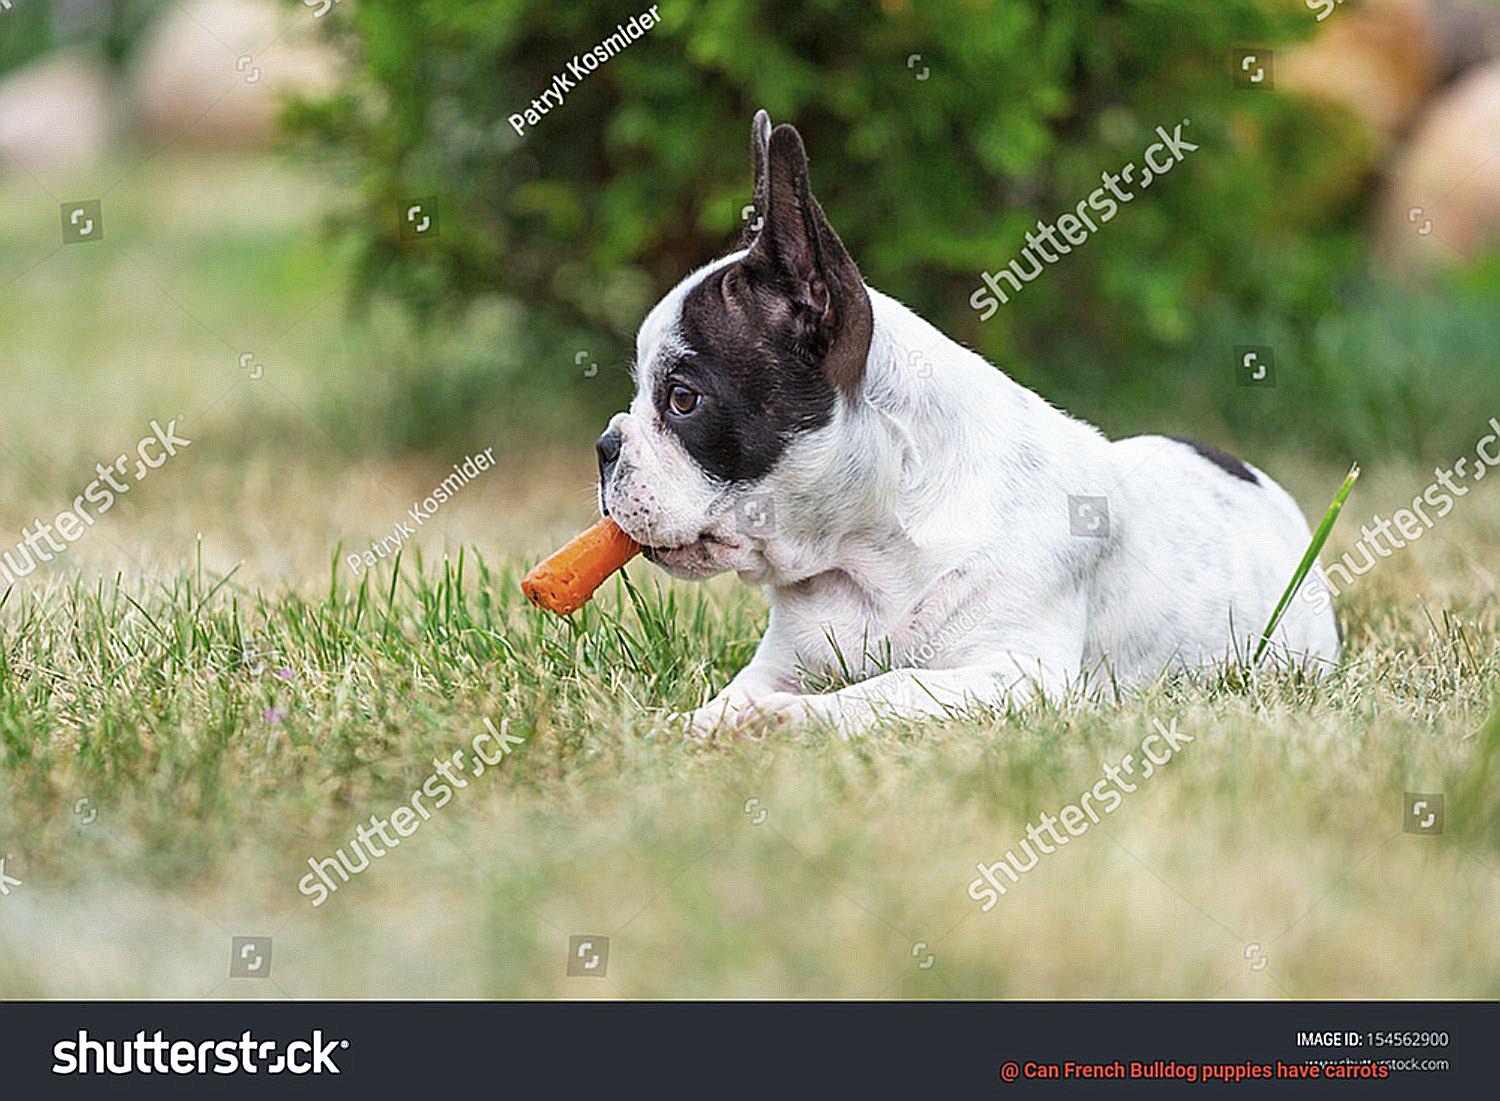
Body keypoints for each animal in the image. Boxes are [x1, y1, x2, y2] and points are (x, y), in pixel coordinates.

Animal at [591, 112, 1344, 738]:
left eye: (683, 399)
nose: (604, 447)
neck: (866, 555)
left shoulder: (1017, 674)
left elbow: (891, 687)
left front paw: (789, 717)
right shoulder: (780, 660)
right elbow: (735, 693)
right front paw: (710, 719)